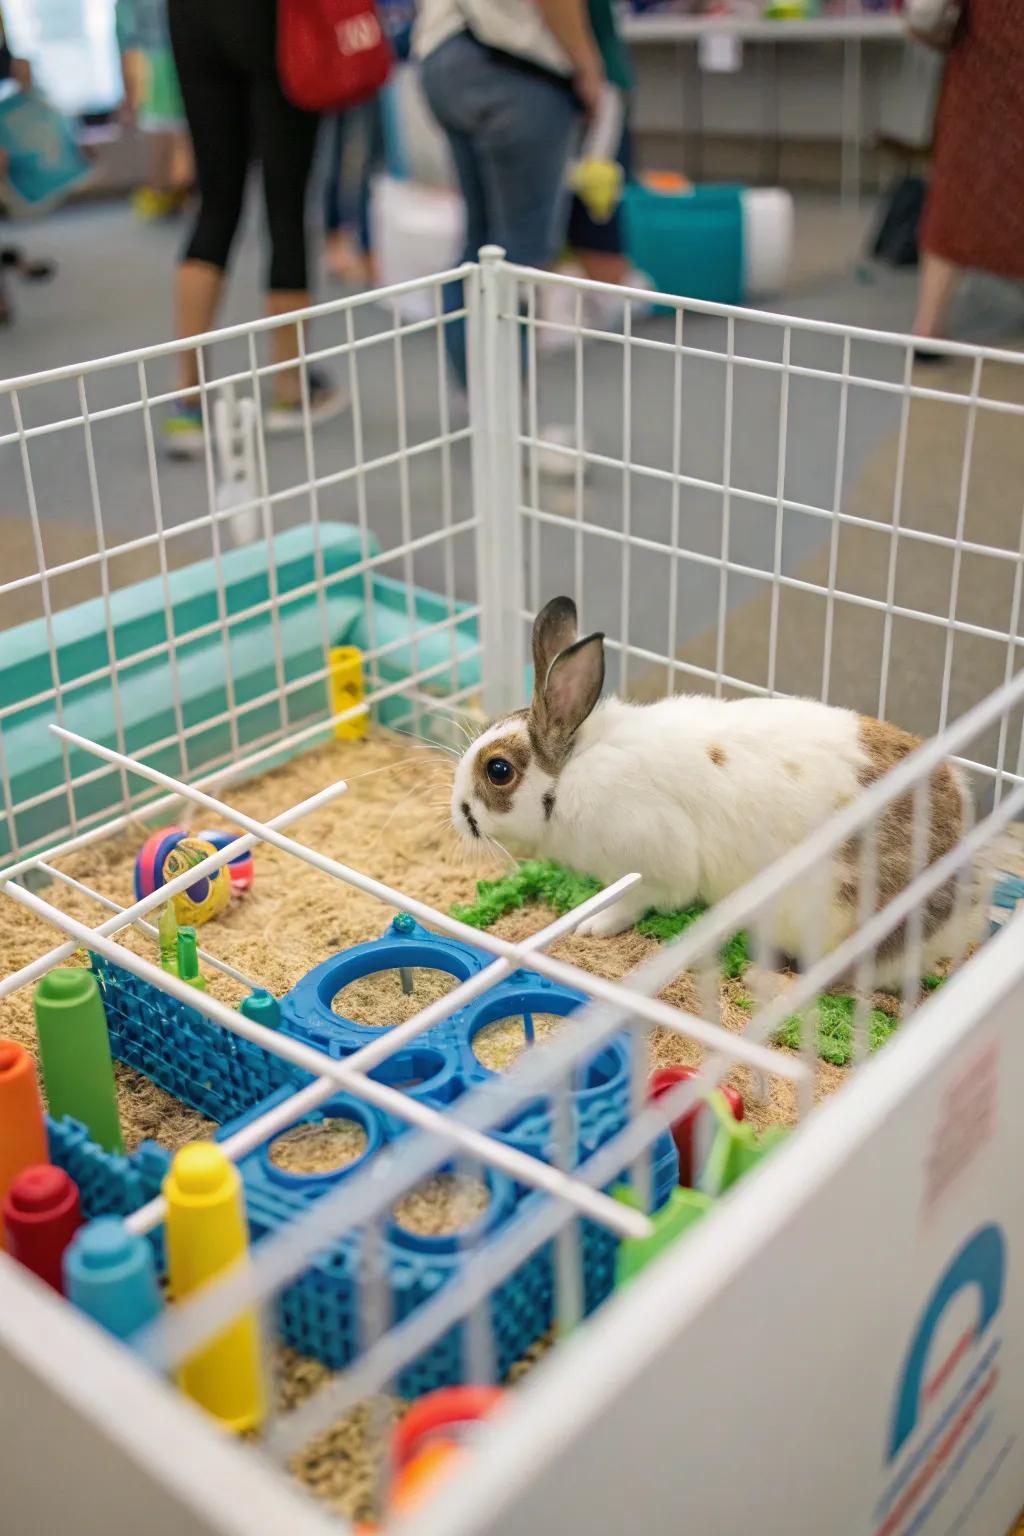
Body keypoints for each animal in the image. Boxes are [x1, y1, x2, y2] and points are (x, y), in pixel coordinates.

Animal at [450, 596, 980, 984]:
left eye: (498, 770)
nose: (459, 814)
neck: (570, 776)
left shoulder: (657, 866)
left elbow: (641, 902)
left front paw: (593, 924)